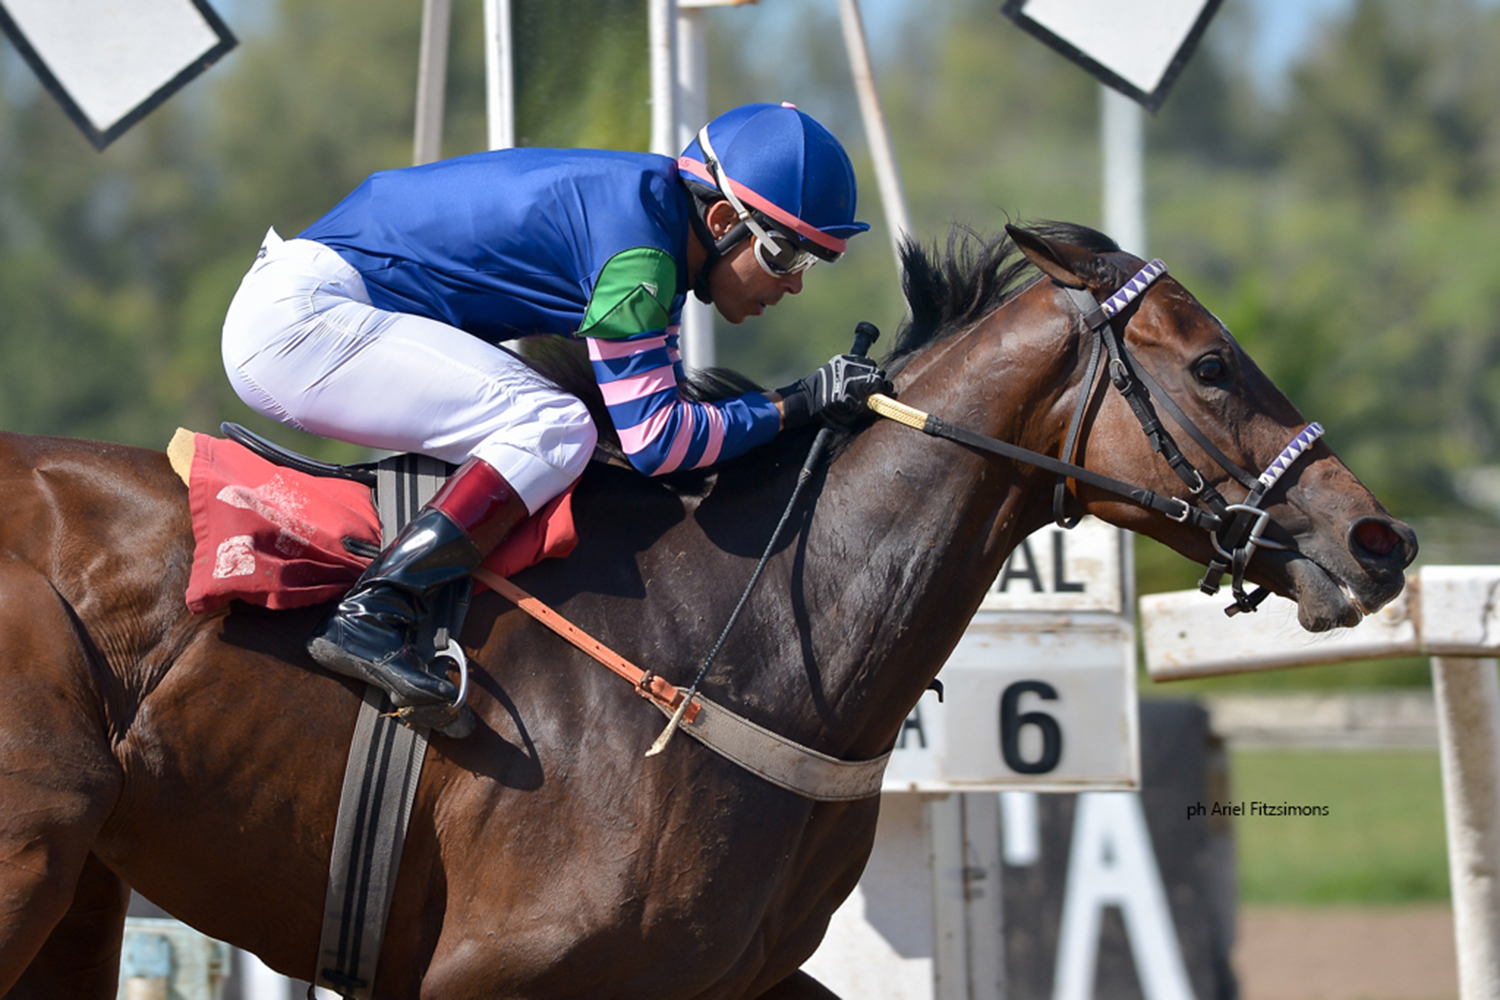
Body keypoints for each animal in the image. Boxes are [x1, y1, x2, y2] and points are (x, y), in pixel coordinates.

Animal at [0, 222, 1415, 999]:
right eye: (1214, 364)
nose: (1379, 539)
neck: (741, 638)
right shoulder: (495, 968)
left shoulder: (726, 971)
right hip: (34, 850)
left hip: (82, 895)